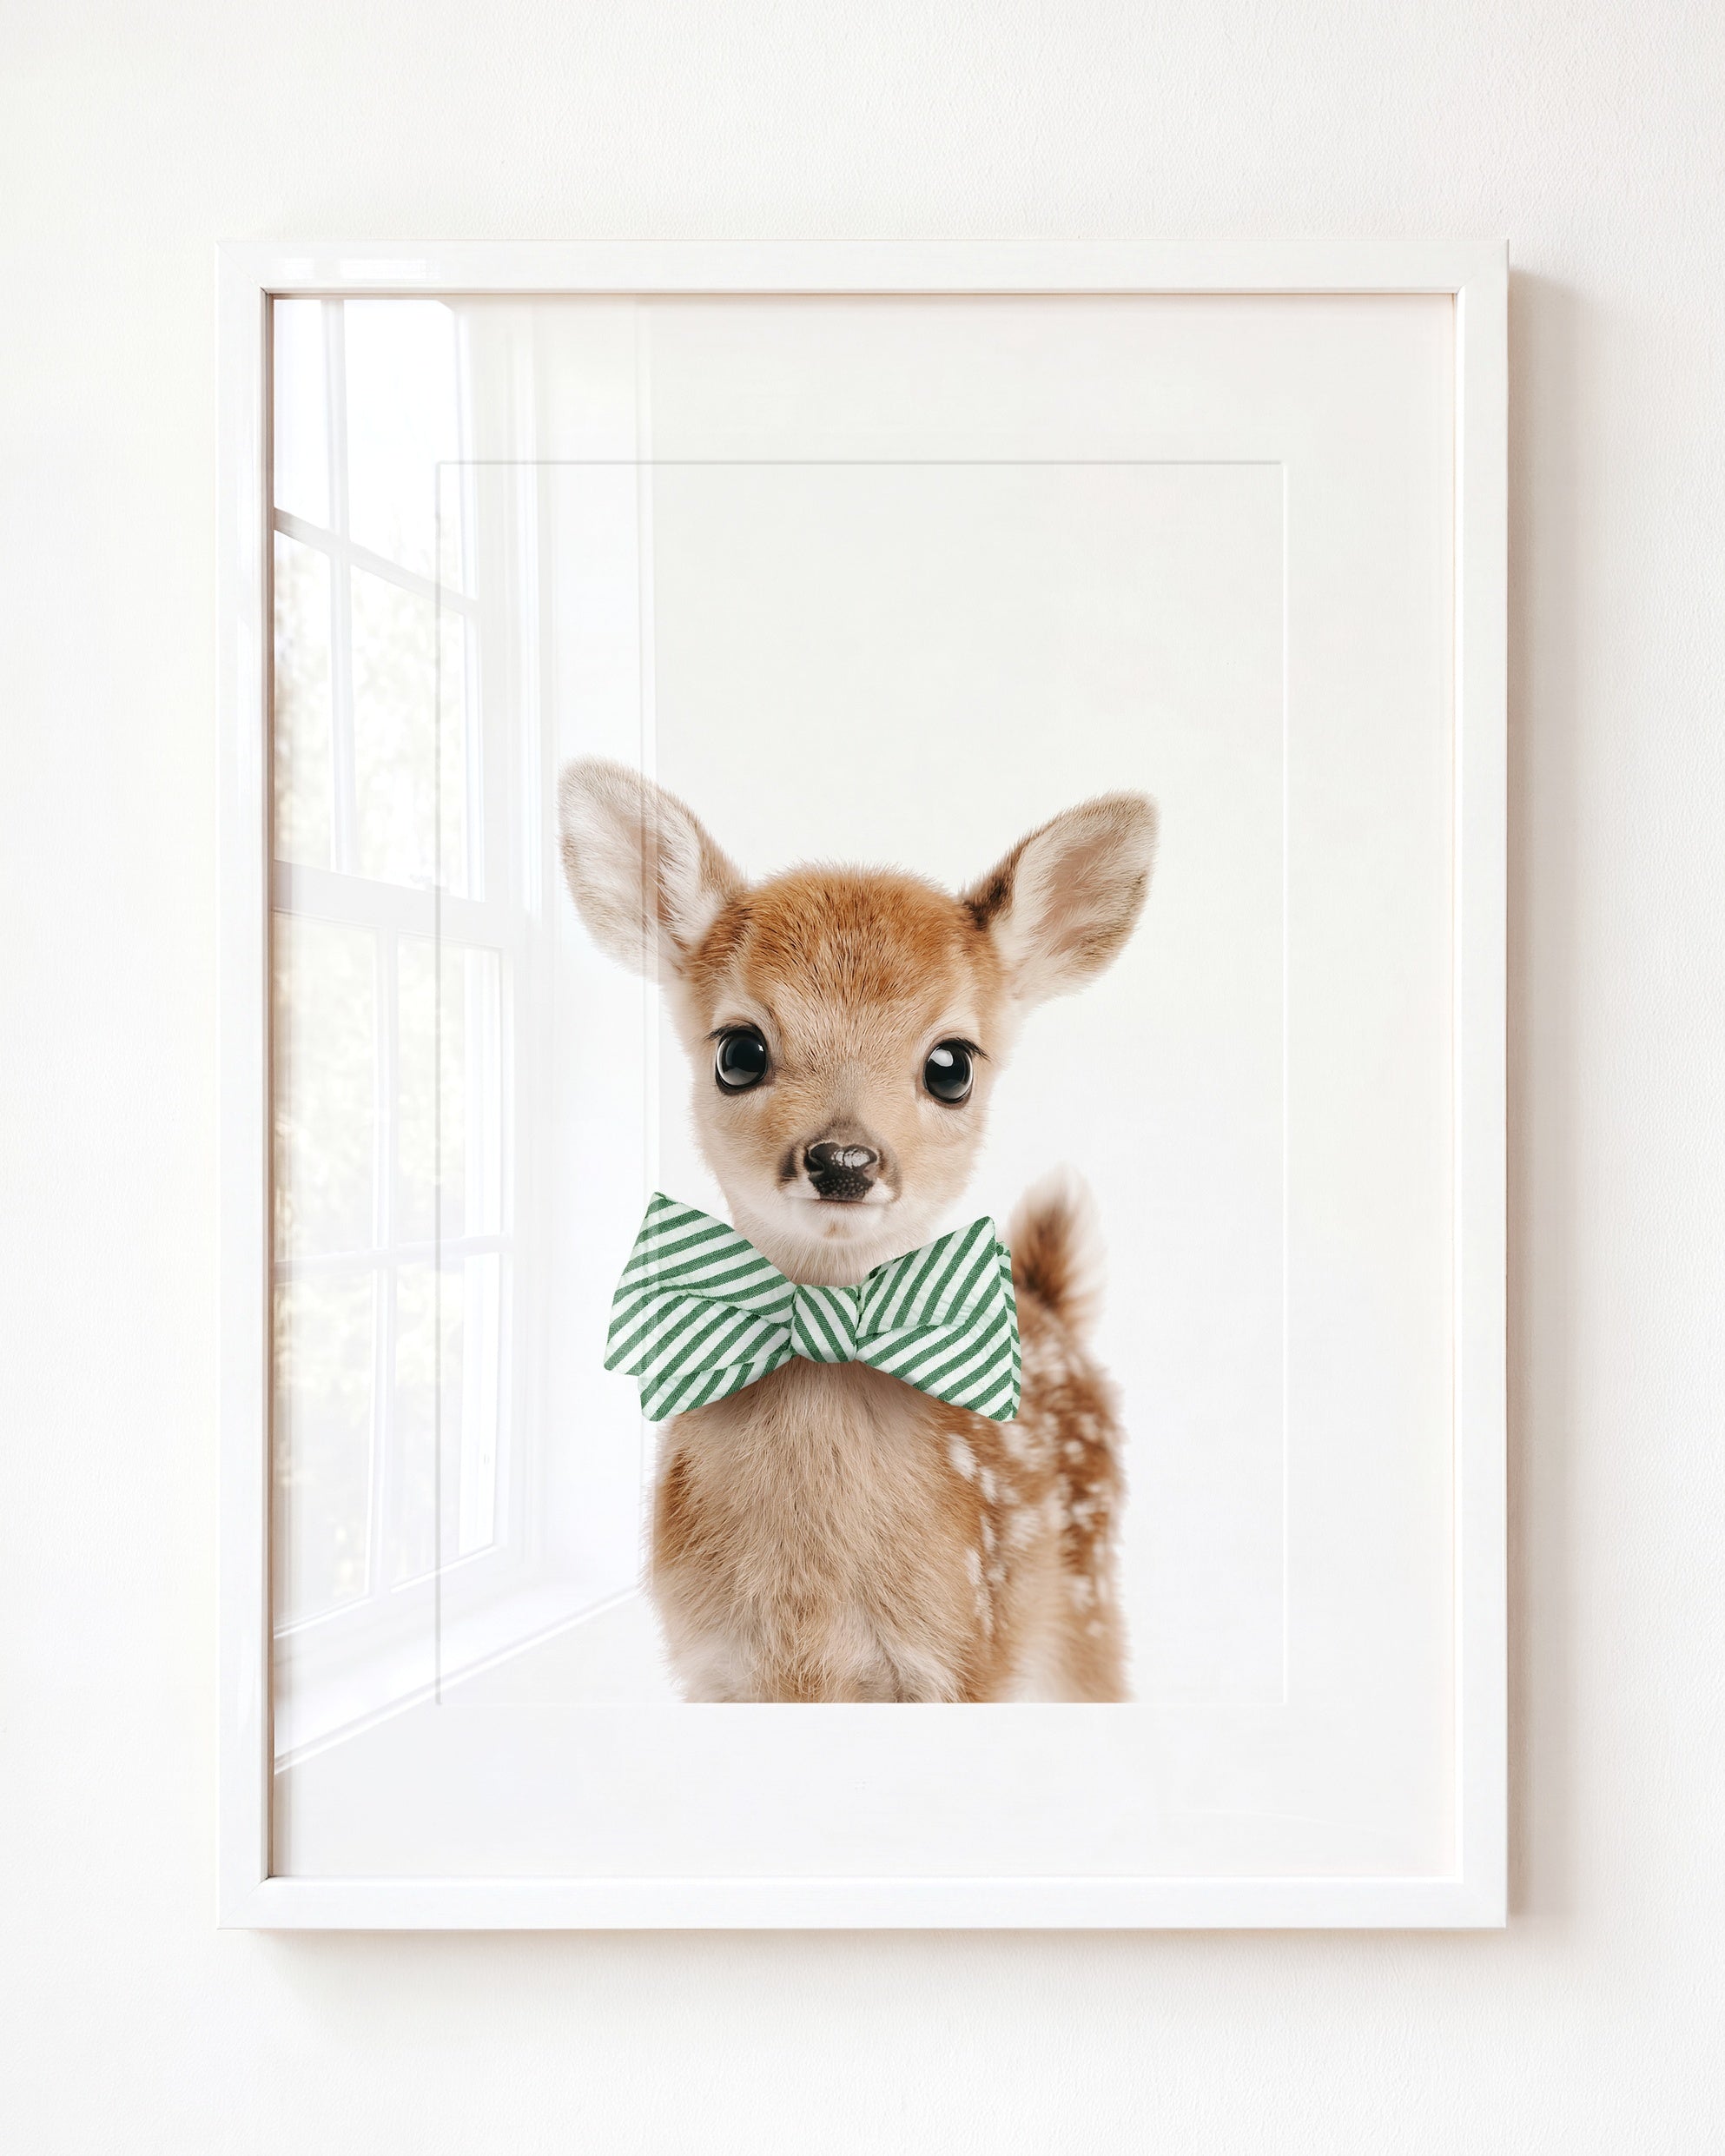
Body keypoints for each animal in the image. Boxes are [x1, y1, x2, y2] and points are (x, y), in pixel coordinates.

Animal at [558, 758, 1156, 1701]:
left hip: (1085, 1606)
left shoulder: (962, 1655)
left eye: (951, 1065)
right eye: (738, 1051)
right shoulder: (713, 1666)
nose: (843, 1158)